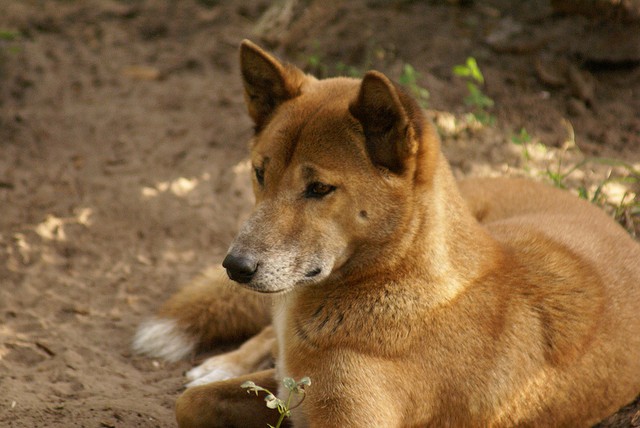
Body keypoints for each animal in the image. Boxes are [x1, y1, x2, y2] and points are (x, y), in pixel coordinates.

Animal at [132, 39, 636, 424]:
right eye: (259, 173)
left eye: (319, 188)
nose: (234, 266)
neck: (394, 277)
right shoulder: (292, 382)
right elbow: (190, 403)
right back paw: (220, 362)